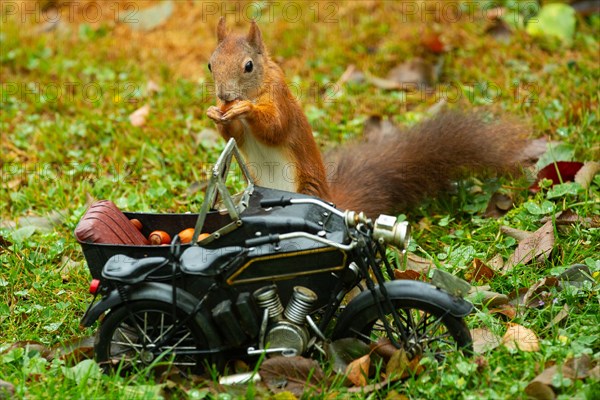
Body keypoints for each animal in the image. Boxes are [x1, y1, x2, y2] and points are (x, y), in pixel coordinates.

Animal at [206, 19, 524, 217]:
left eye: (248, 66)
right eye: (210, 64)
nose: (223, 94)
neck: (256, 88)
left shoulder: (281, 97)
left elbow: (275, 127)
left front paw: (245, 109)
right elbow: (236, 137)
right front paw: (216, 114)